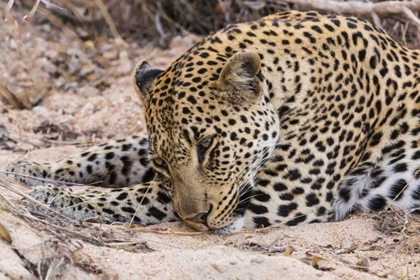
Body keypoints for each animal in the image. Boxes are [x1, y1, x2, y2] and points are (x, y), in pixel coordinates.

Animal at [4, 10, 420, 234]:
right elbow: (110, 150)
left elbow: (142, 196)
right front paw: (28, 169)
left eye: (208, 146)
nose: (197, 221)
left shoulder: (285, 193)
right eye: (161, 162)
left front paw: (58, 195)